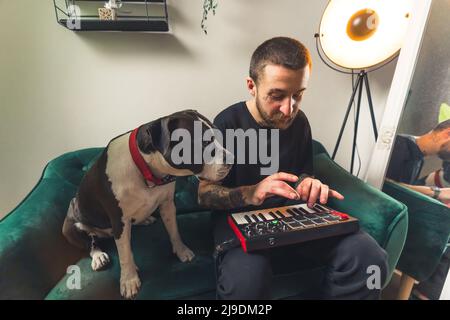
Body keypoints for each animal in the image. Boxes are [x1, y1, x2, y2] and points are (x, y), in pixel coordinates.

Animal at [62, 109, 232, 298]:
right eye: (204, 142)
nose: (232, 159)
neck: (147, 169)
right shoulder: (119, 221)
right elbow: (125, 255)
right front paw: (129, 280)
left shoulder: (167, 204)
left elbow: (174, 232)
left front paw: (181, 251)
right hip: (72, 225)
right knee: (90, 242)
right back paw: (98, 256)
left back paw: (145, 219)